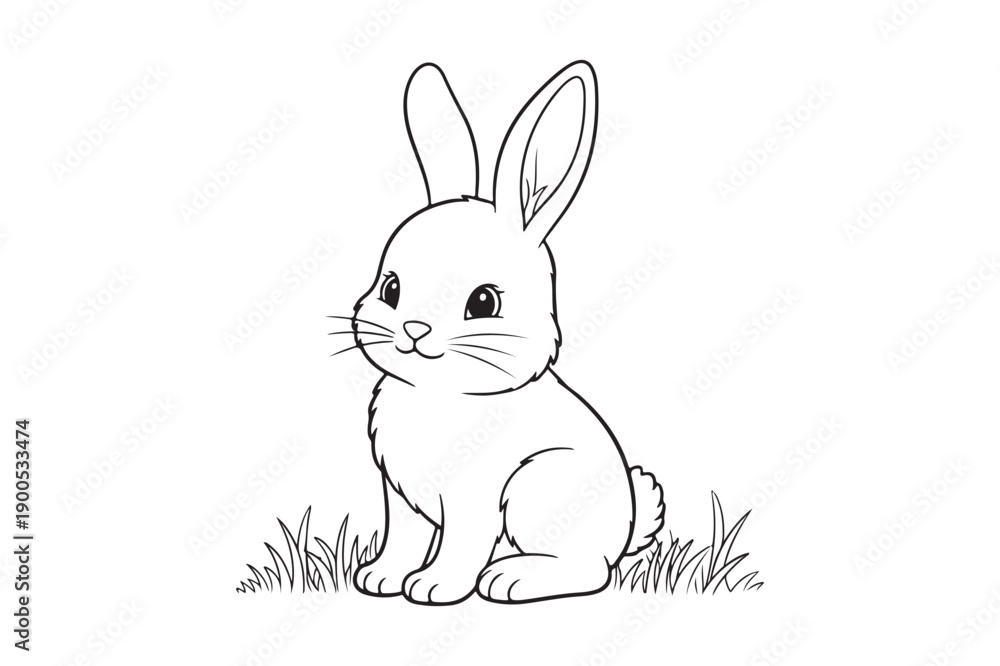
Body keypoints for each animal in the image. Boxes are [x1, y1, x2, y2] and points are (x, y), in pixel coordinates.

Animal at [342, 61, 664, 605]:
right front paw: (380, 578)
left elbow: (460, 546)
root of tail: (623, 532)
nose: (413, 329)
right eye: (391, 289)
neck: (439, 393)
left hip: (537, 487)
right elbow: (402, 539)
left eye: (483, 303)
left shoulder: (474, 500)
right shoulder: (400, 498)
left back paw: (512, 578)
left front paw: (432, 587)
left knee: (589, 571)